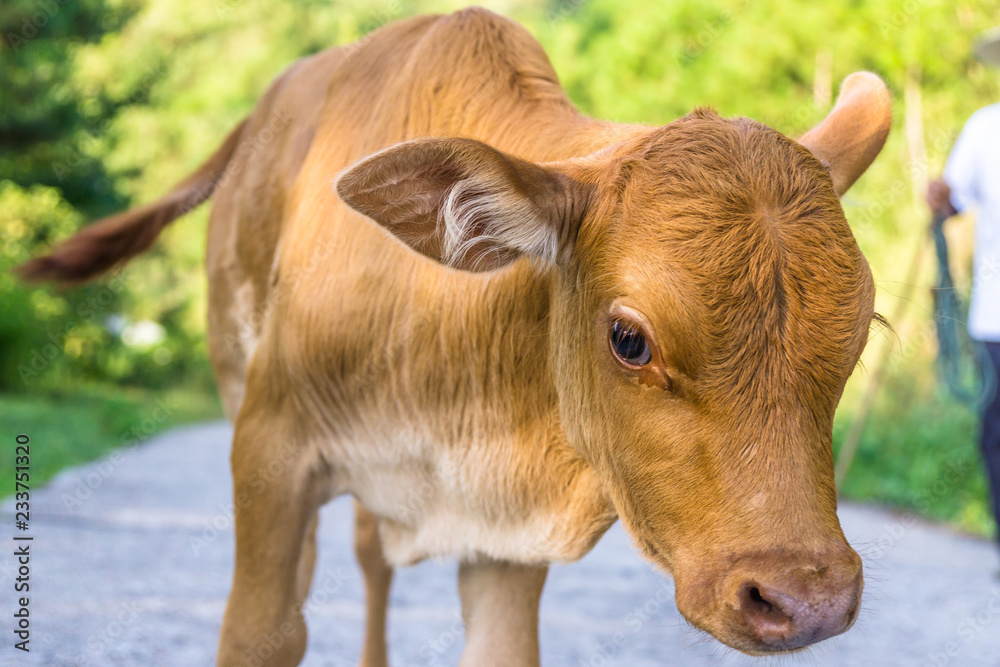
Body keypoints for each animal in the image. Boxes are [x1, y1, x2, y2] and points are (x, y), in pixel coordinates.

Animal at [19, 7, 888, 664]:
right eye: (629, 338)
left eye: (862, 332)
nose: (807, 598)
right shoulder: (271, 447)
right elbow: (262, 631)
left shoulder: (506, 535)